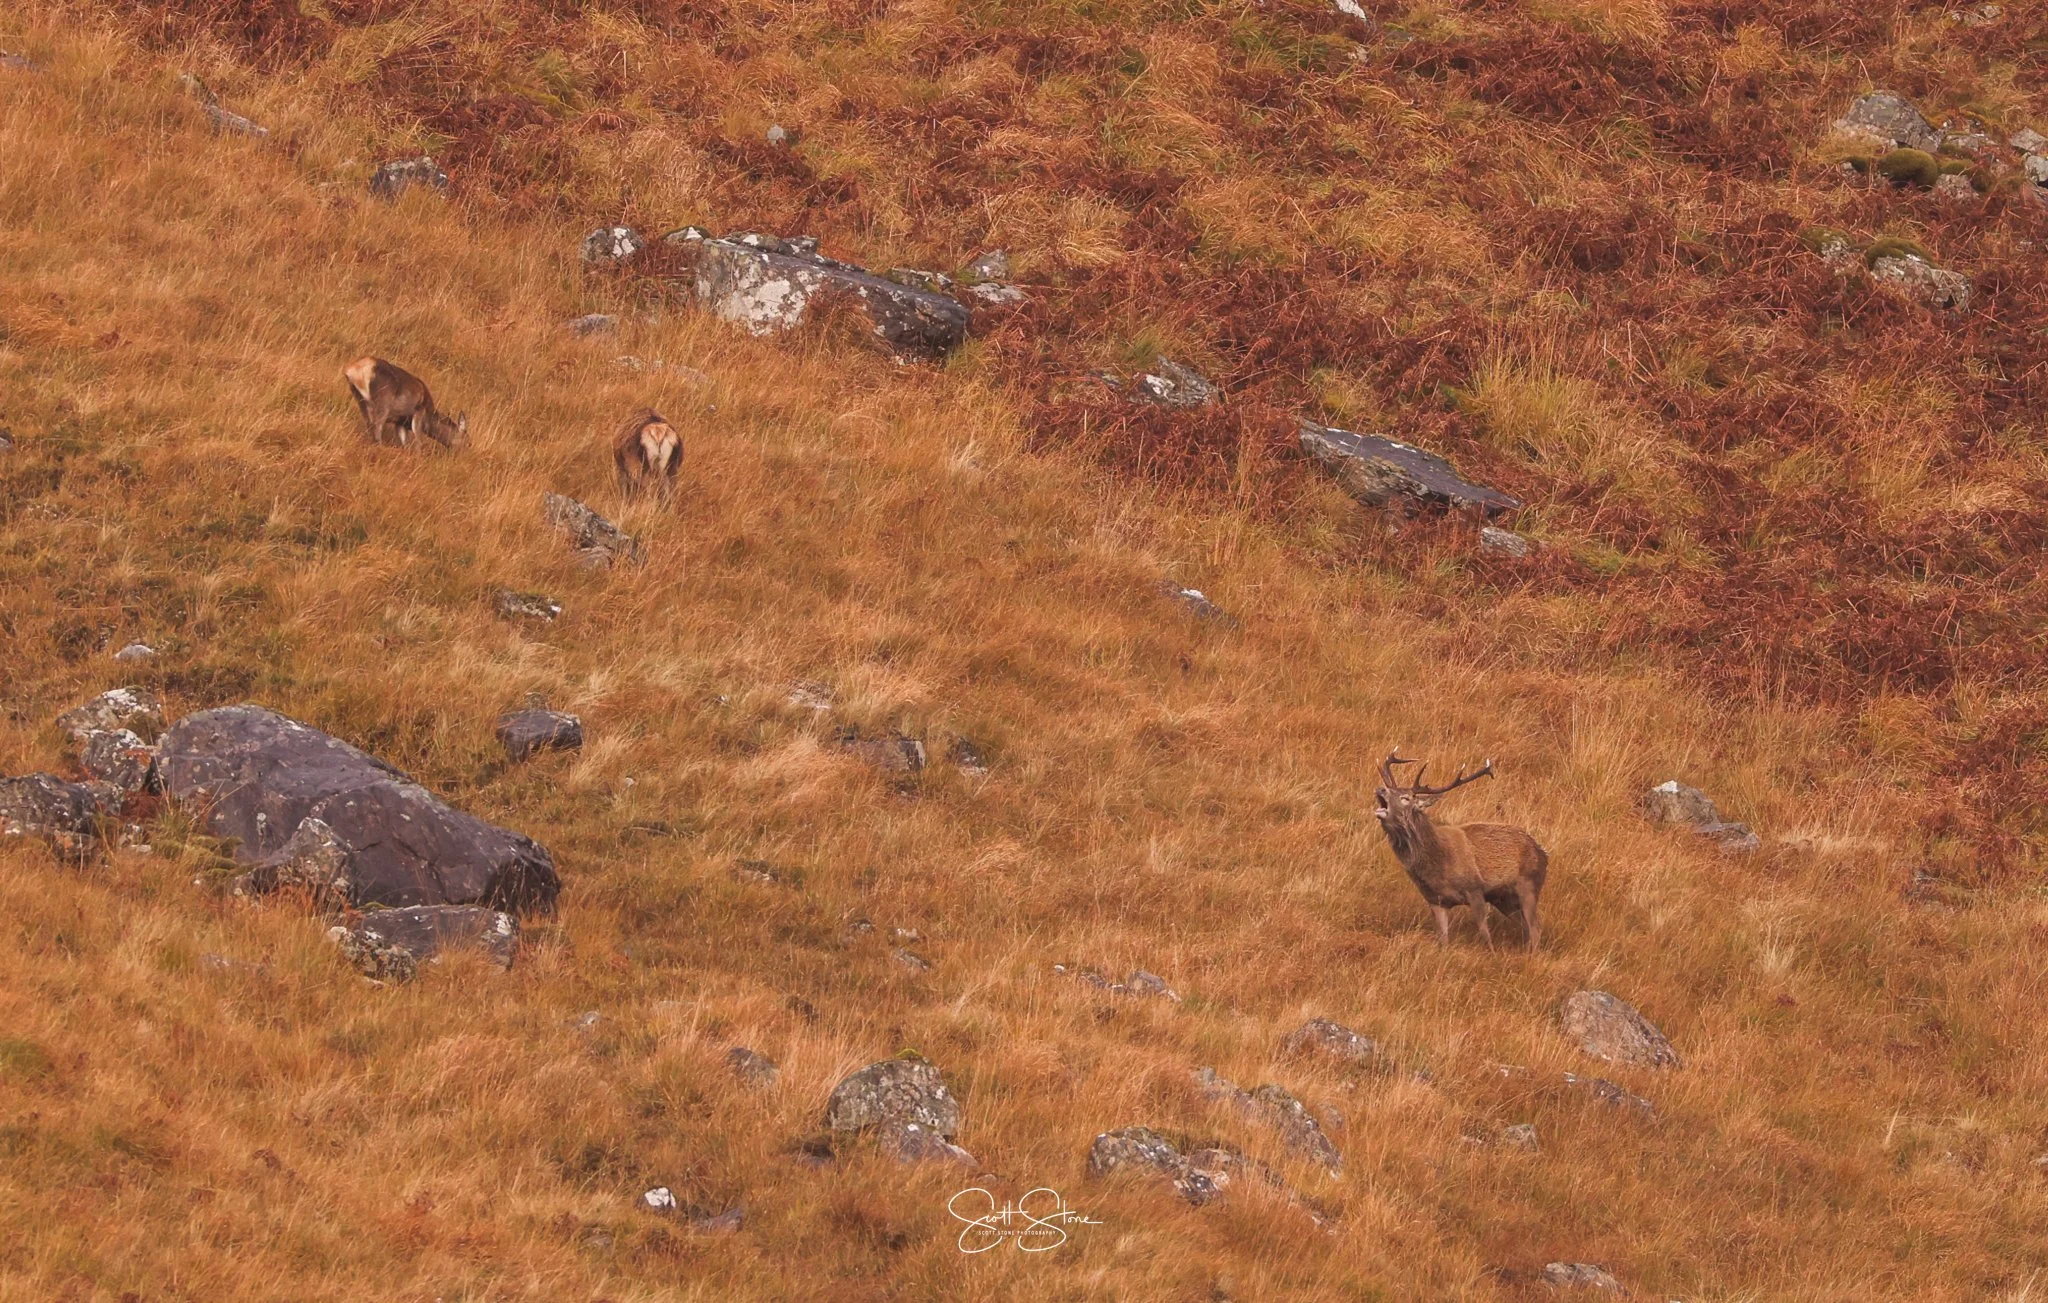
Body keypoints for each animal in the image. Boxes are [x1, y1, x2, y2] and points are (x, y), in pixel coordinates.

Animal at [1373, 752, 1548, 951]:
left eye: (1406, 798)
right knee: (1526, 926)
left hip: (1529, 883)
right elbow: (1443, 939)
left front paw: (1491, 954)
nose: (1381, 789)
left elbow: (1484, 934)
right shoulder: (1435, 899)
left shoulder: (1475, 888)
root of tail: (1543, 853)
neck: (1438, 865)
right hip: (1503, 898)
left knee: (1535, 927)